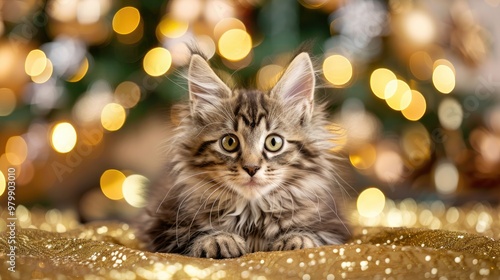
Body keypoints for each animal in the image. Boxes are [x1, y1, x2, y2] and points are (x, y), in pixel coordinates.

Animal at [138, 52, 352, 258]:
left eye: (274, 142)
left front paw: (297, 239)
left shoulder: (334, 224)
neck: (252, 215)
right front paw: (219, 239)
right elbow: (189, 236)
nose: (251, 168)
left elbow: (316, 236)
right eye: (229, 142)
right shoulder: (159, 224)